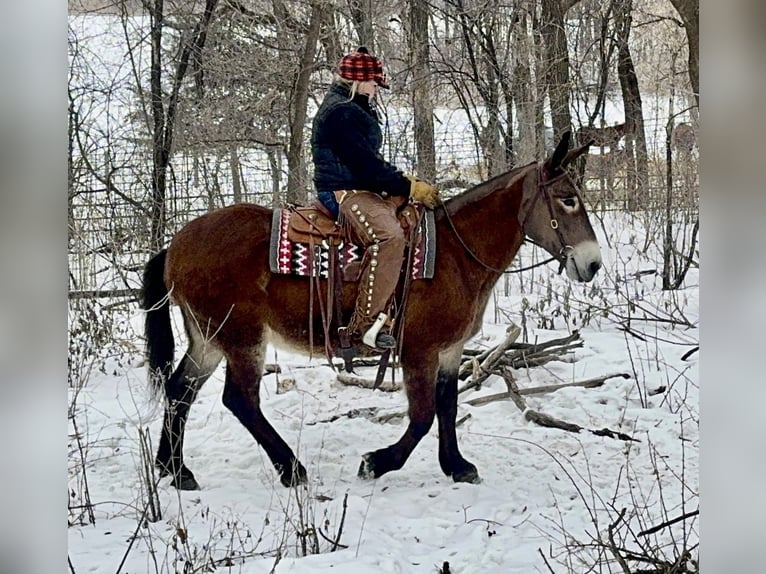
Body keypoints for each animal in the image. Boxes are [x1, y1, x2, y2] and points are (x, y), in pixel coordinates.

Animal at [142, 131, 602, 491]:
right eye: (567, 200)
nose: (593, 263)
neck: (454, 254)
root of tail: (174, 247)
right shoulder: (418, 349)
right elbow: (422, 415)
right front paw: (377, 462)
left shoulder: (450, 350)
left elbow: (448, 406)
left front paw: (456, 466)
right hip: (241, 338)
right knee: (239, 399)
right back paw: (290, 468)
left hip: (208, 338)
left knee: (180, 390)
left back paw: (175, 470)